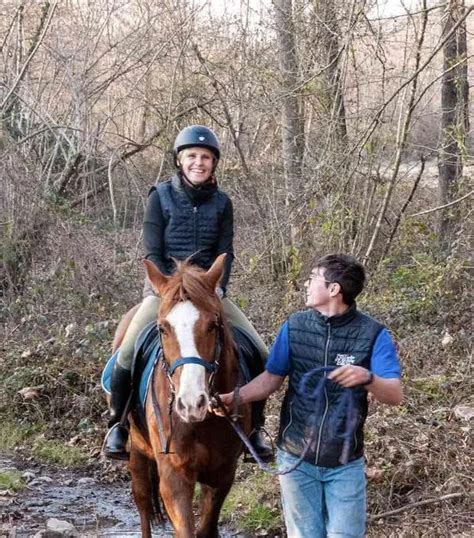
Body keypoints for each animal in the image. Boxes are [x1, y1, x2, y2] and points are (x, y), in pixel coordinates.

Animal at [113, 253, 252, 532]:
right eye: (163, 329)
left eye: (212, 325)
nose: (191, 404)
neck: (201, 424)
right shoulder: (174, 476)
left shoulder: (222, 474)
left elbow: (206, 528)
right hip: (136, 452)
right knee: (142, 504)